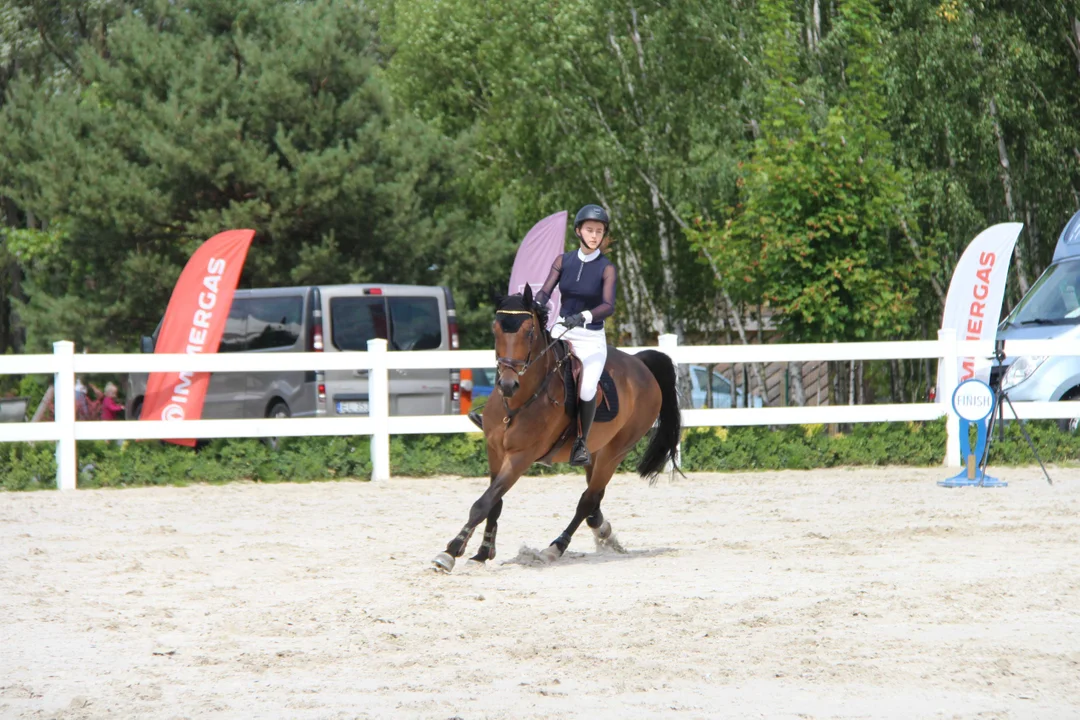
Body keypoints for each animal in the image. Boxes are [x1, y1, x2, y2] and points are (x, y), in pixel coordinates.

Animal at [432, 284, 678, 569]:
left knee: (587, 500)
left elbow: (483, 503)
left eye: (529, 332)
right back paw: (603, 531)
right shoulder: (495, 452)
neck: (519, 401)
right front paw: (483, 552)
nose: (507, 384)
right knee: (594, 500)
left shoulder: (520, 457)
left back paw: (555, 548)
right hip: (594, 452)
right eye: (496, 330)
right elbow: (494, 502)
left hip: (616, 451)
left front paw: (451, 551)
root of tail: (640, 364)